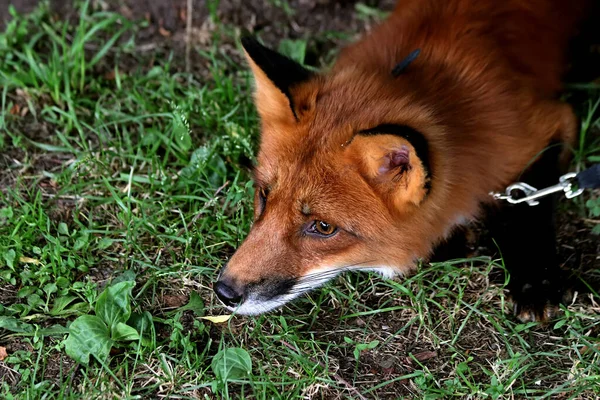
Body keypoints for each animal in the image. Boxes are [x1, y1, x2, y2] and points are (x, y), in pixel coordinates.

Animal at [213, 0, 592, 320]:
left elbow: (528, 204)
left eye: (323, 227)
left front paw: (534, 280)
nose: (224, 292)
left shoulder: (546, 124)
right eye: (264, 195)